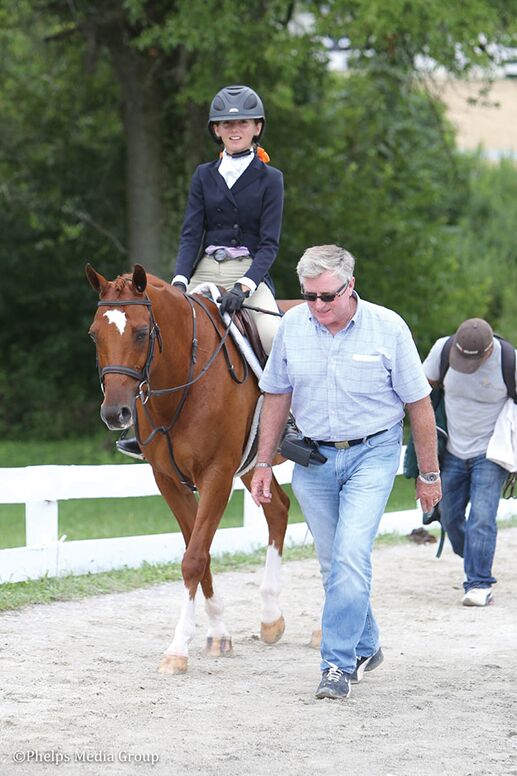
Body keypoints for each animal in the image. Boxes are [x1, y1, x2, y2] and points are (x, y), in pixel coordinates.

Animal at [86, 263, 290, 674]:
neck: (183, 379)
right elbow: (199, 551)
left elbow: (194, 557)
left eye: (141, 332)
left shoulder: (217, 476)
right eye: (94, 334)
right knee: (278, 510)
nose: (116, 414)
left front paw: (178, 648)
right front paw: (218, 633)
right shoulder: (169, 480)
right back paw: (270, 618)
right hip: (252, 467)